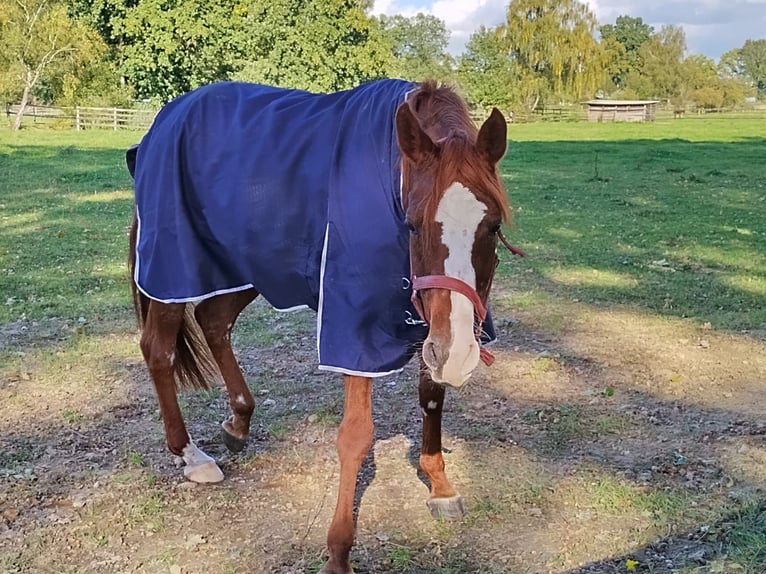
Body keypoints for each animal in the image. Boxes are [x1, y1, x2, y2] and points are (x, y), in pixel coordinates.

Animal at [126, 80, 520, 574]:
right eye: (412, 224)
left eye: (492, 225)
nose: (462, 354)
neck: (391, 174)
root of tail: (166, 119)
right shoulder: (356, 330)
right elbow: (356, 436)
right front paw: (338, 551)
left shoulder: (434, 326)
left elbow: (432, 396)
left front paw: (440, 485)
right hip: (174, 272)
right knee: (159, 349)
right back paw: (190, 454)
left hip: (253, 267)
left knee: (214, 321)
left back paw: (239, 421)